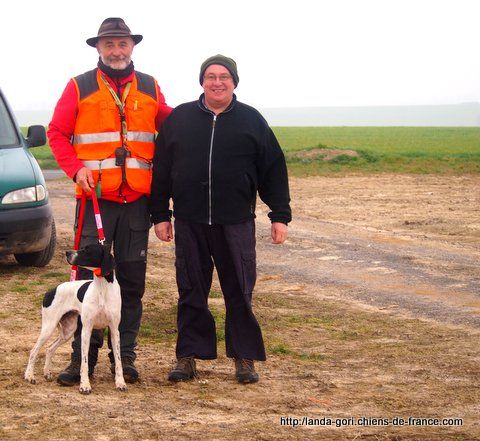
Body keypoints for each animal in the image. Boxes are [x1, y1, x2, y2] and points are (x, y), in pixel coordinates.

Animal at [24, 242, 126, 394]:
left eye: (87, 250)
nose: (67, 253)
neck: (102, 287)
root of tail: (50, 290)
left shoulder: (114, 331)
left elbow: (118, 360)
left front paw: (120, 382)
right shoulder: (87, 330)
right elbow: (84, 361)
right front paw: (84, 385)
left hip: (68, 331)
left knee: (49, 349)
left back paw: (47, 372)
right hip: (49, 327)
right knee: (33, 351)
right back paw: (29, 376)